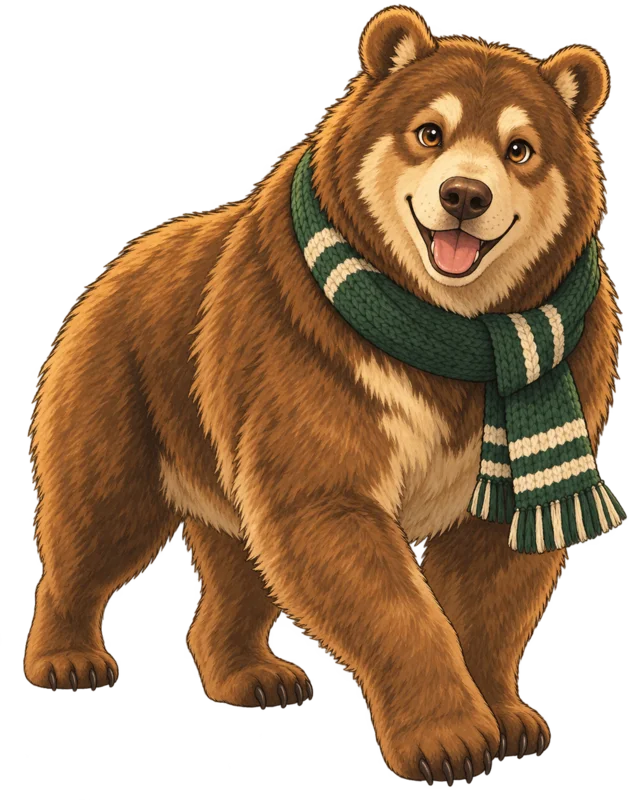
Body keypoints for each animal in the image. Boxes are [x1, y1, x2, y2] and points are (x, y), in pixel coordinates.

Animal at [24, 3, 624, 787]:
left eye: (520, 147)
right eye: (428, 131)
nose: (465, 196)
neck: (452, 331)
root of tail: (118, 263)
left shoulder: (564, 378)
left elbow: (495, 568)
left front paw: (510, 718)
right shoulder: (312, 360)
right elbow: (340, 531)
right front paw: (449, 739)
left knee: (242, 562)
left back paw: (253, 674)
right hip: (123, 382)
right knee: (96, 519)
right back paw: (67, 658)